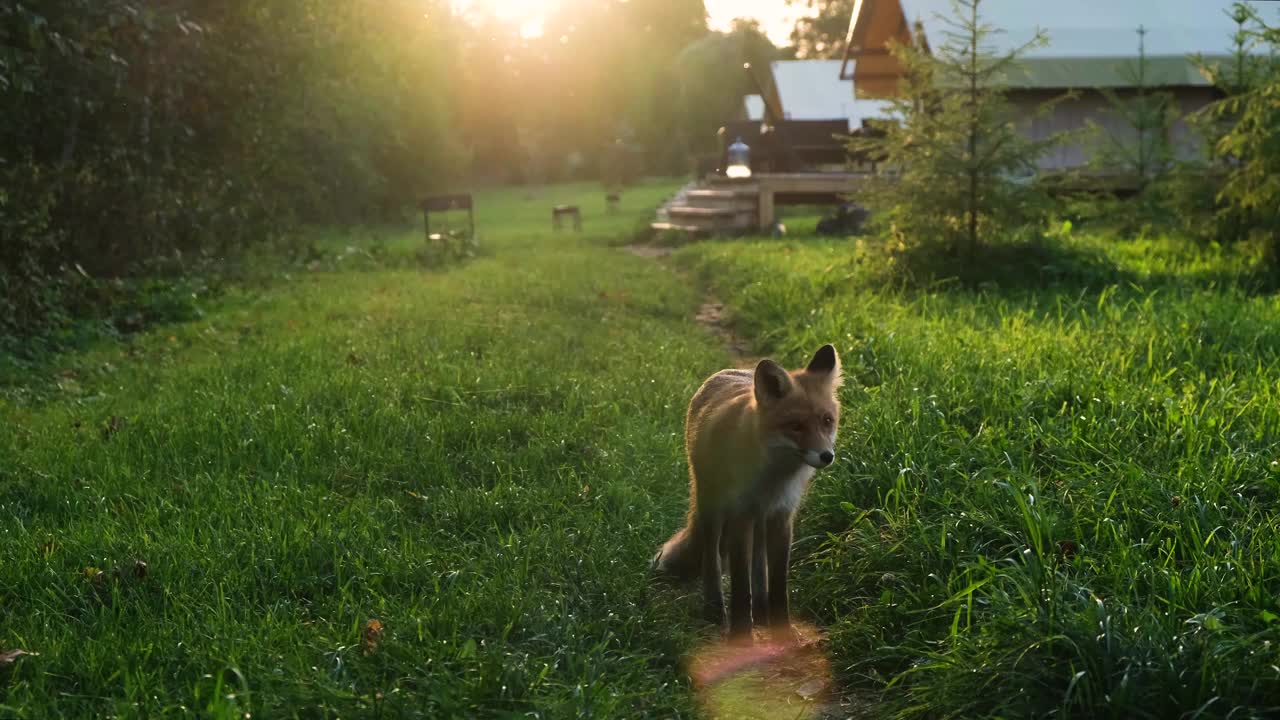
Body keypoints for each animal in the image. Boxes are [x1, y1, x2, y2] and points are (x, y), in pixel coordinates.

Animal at [650, 345, 839, 640]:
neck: (773, 477)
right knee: (712, 558)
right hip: (712, 508)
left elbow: (778, 584)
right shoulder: (740, 515)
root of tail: (728, 373)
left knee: (758, 566)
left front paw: (782, 631)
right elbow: (740, 584)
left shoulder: (782, 516)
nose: (826, 456)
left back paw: (761, 612)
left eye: (827, 421)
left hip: (759, 521)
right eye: (796, 426)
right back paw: (715, 609)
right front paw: (741, 635)